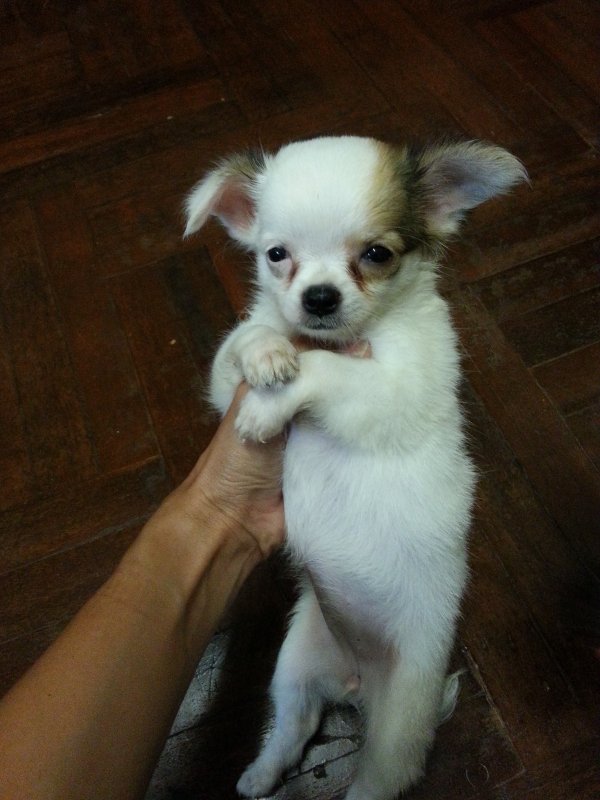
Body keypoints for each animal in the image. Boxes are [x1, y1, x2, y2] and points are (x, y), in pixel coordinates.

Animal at [184, 135, 527, 799]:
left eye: (376, 255)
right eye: (276, 255)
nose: (319, 297)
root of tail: (357, 680)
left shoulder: (395, 389)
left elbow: (328, 371)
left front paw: (271, 404)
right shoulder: (221, 383)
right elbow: (242, 343)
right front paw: (267, 353)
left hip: (398, 721)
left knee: (374, 776)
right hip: (294, 662)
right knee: (295, 728)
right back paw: (259, 775)